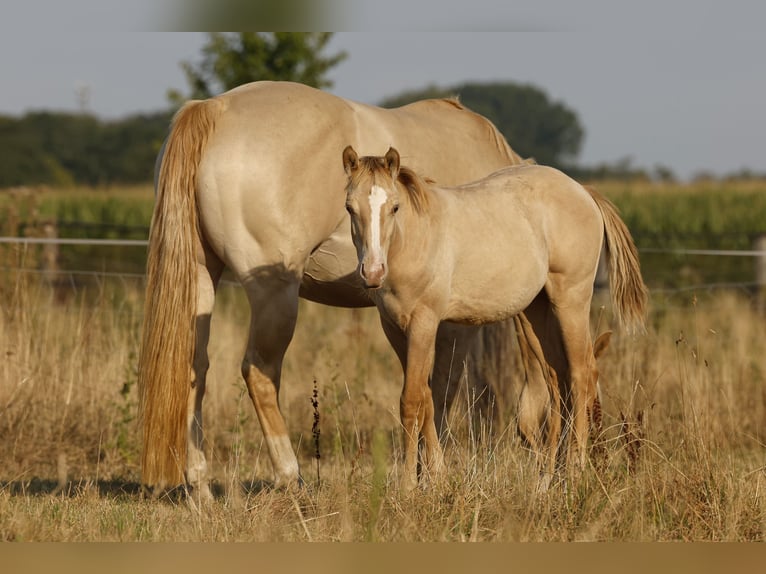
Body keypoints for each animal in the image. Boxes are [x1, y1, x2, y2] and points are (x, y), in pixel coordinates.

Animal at [139, 81, 533, 498]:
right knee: (259, 373)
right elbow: (438, 391)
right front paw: (430, 473)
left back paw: (200, 488)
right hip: (274, 294)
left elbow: (423, 389)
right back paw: (290, 477)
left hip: (201, 277)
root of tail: (215, 109)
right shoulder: (451, 324)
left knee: (194, 367)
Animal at [341, 146, 647, 490]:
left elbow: (411, 400)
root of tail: (584, 192)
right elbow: (427, 398)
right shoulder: (394, 328)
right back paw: (546, 480)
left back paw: (575, 470)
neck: (414, 240)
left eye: (394, 207)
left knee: (582, 373)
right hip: (536, 311)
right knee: (557, 381)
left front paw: (408, 486)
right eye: (350, 207)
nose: (372, 273)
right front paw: (436, 478)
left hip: (571, 301)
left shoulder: (424, 323)